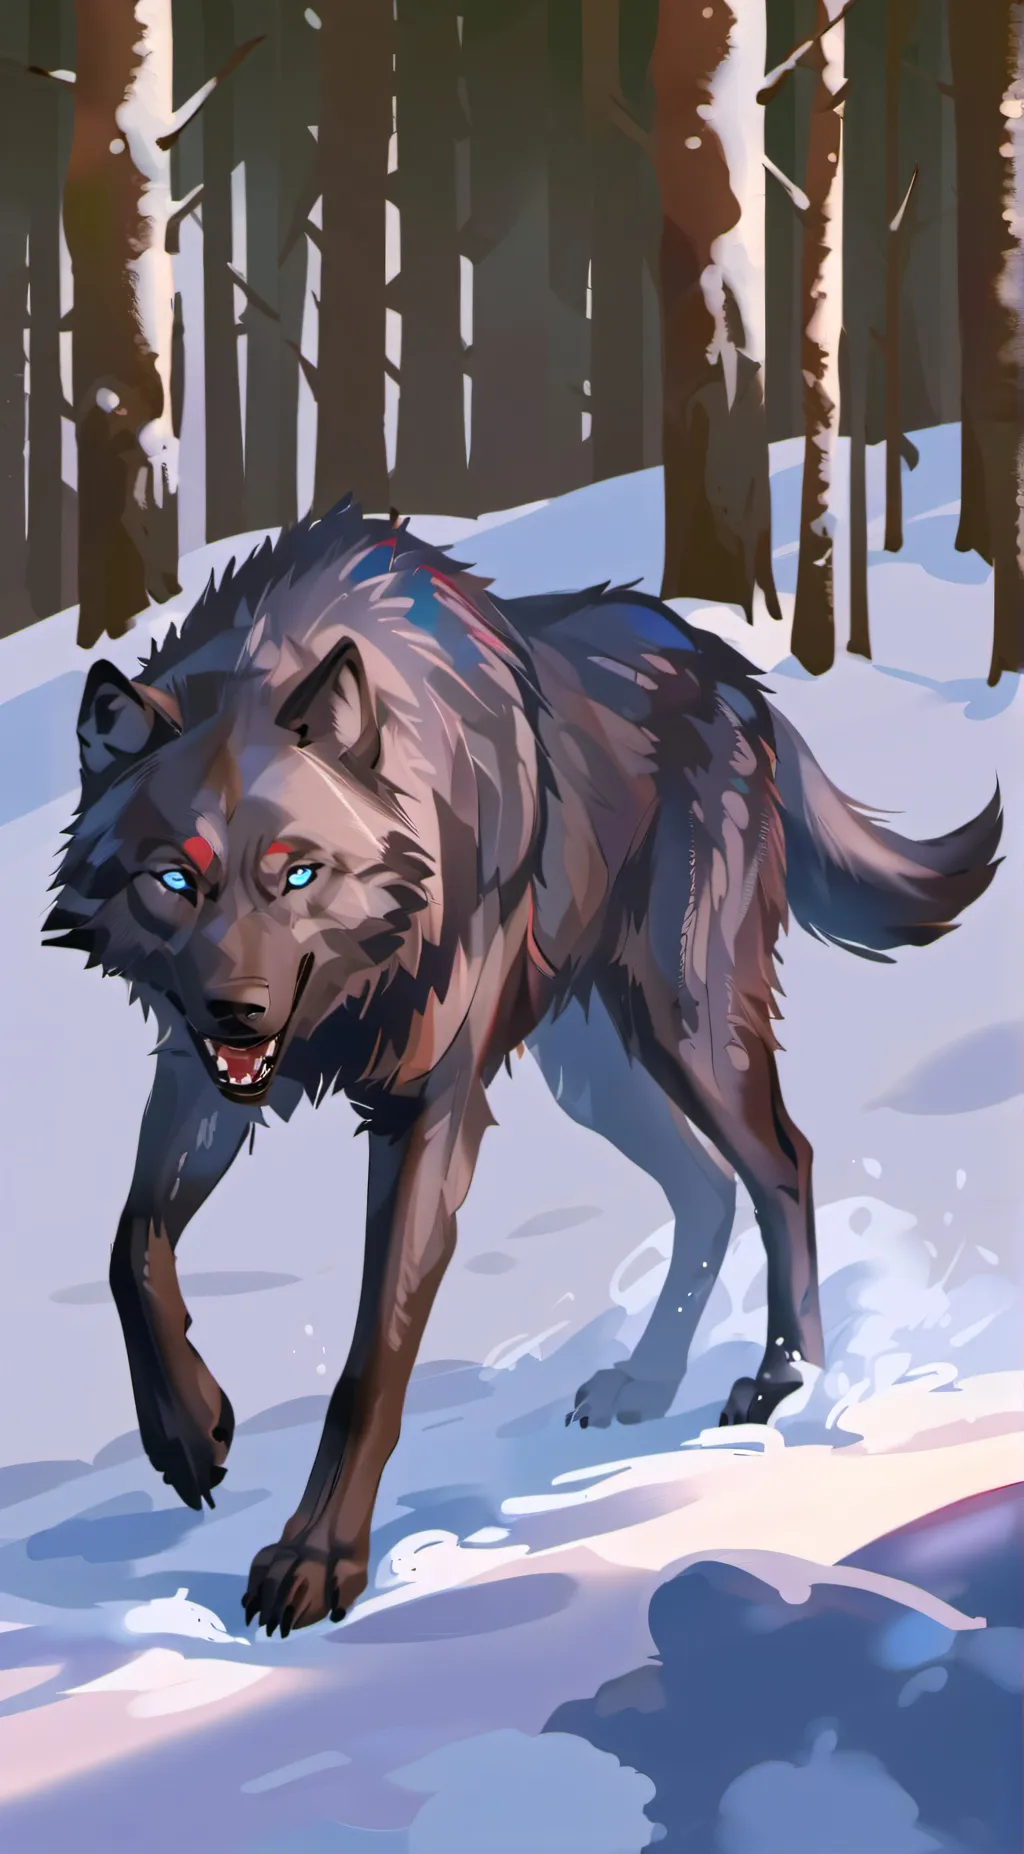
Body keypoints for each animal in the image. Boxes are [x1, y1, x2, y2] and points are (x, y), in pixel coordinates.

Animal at [46, 500, 1001, 1634]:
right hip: (593, 1075)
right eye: (174, 879)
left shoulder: (426, 1109)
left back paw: (782, 1383)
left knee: (783, 1162)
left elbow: (371, 1361)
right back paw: (646, 1383)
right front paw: (191, 1437)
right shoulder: (202, 1077)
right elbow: (131, 1248)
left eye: (300, 873)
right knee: (708, 1186)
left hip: (687, 1026)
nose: (240, 1008)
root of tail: (728, 669)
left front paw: (319, 1560)